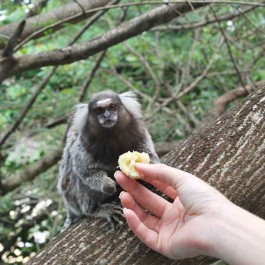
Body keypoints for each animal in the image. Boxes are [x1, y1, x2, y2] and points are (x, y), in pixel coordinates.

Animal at [57, 89, 159, 228]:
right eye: (99, 110)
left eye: (112, 107)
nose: (107, 115)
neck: (111, 135)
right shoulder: (84, 144)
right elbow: (84, 171)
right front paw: (108, 185)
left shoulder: (138, 131)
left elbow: (147, 151)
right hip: (72, 198)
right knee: (75, 179)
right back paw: (95, 209)